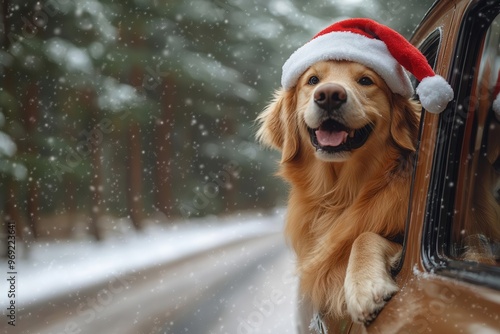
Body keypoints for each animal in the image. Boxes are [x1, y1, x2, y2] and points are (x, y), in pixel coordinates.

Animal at [258, 58, 422, 324]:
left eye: (365, 80)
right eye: (313, 80)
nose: (329, 95)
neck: (340, 194)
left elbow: (363, 236)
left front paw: (365, 285)